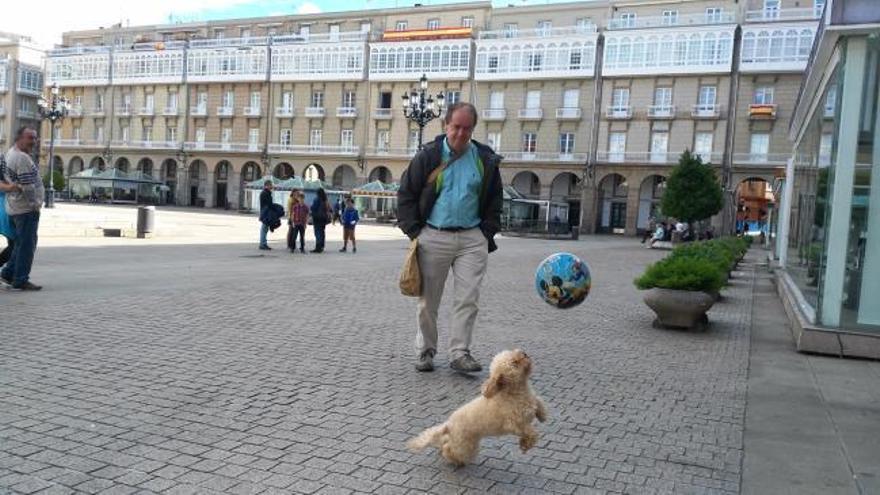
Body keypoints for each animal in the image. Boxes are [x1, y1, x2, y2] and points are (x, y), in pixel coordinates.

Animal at [408, 348, 548, 464]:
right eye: (514, 363)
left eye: (514, 352)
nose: (524, 353)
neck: (513, 392)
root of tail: (449, 424)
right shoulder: (515, 424)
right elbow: (531, 433)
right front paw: (525, 445)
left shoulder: (533, 402)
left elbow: (539, 403)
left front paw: (542, 416)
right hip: (465, 445)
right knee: (449, 449)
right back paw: (452, 458)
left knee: (445, 442)